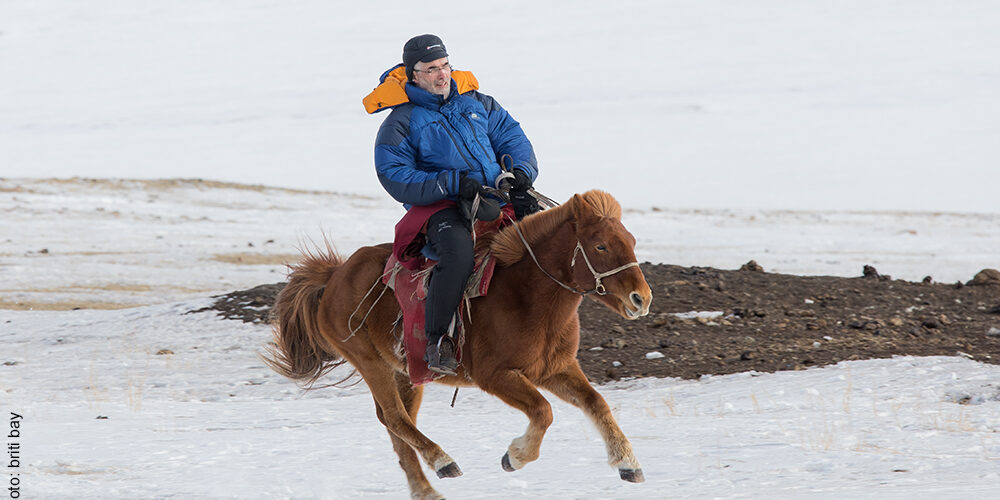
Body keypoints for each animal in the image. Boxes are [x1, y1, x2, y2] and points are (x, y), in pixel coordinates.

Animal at [264, 190, 653, 500]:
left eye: (632, 240)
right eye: (600, 245)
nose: (642, 299)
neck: (526, 296)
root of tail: (334, 276)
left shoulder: (555, 369)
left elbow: (596, 403)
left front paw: (628, 463)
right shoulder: (496, 376)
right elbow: (543, 411)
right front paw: (515, 456)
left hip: (407, 374)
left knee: (396, 426)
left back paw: (425, 490)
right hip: (371, 364)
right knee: (395, 418)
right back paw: (443, 461)